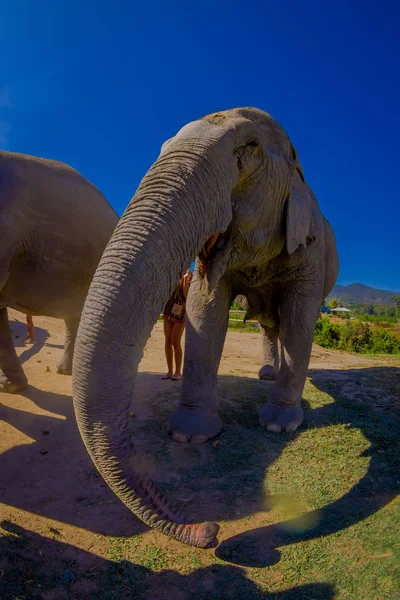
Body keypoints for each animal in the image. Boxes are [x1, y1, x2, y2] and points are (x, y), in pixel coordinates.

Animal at [72, 108, 338, 548]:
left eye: (249, 148)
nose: (211, 530)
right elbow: (204, 308)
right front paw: (191, 437)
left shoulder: (310, 251)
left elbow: (301, 317)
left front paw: (279, 426)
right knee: (269, 324)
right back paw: (266, 374)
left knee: (282, 323)